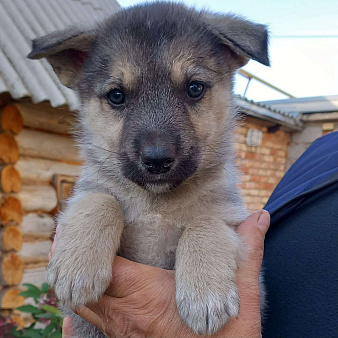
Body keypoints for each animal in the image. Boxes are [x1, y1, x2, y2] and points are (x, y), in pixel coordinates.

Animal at [27, 1, 268, 336]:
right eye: (116, 95)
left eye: (195, 88)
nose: (157, 159)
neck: (156, 204)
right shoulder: (88, 192)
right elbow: (100, 200)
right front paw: (77, 266)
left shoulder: (233, 224)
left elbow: (205, 223)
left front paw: (206, 295)